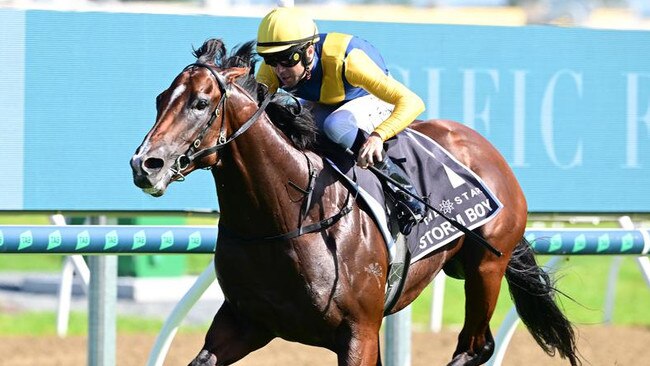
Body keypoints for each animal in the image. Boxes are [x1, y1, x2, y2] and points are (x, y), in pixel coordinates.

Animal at [129, 38, 580, 364]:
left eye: (200, 103)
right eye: (159, 99)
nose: (145, 165)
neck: (286, 219)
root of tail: (485, 148)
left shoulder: (359, 332)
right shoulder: (245, 322)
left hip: (486, 266)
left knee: (476, 346)